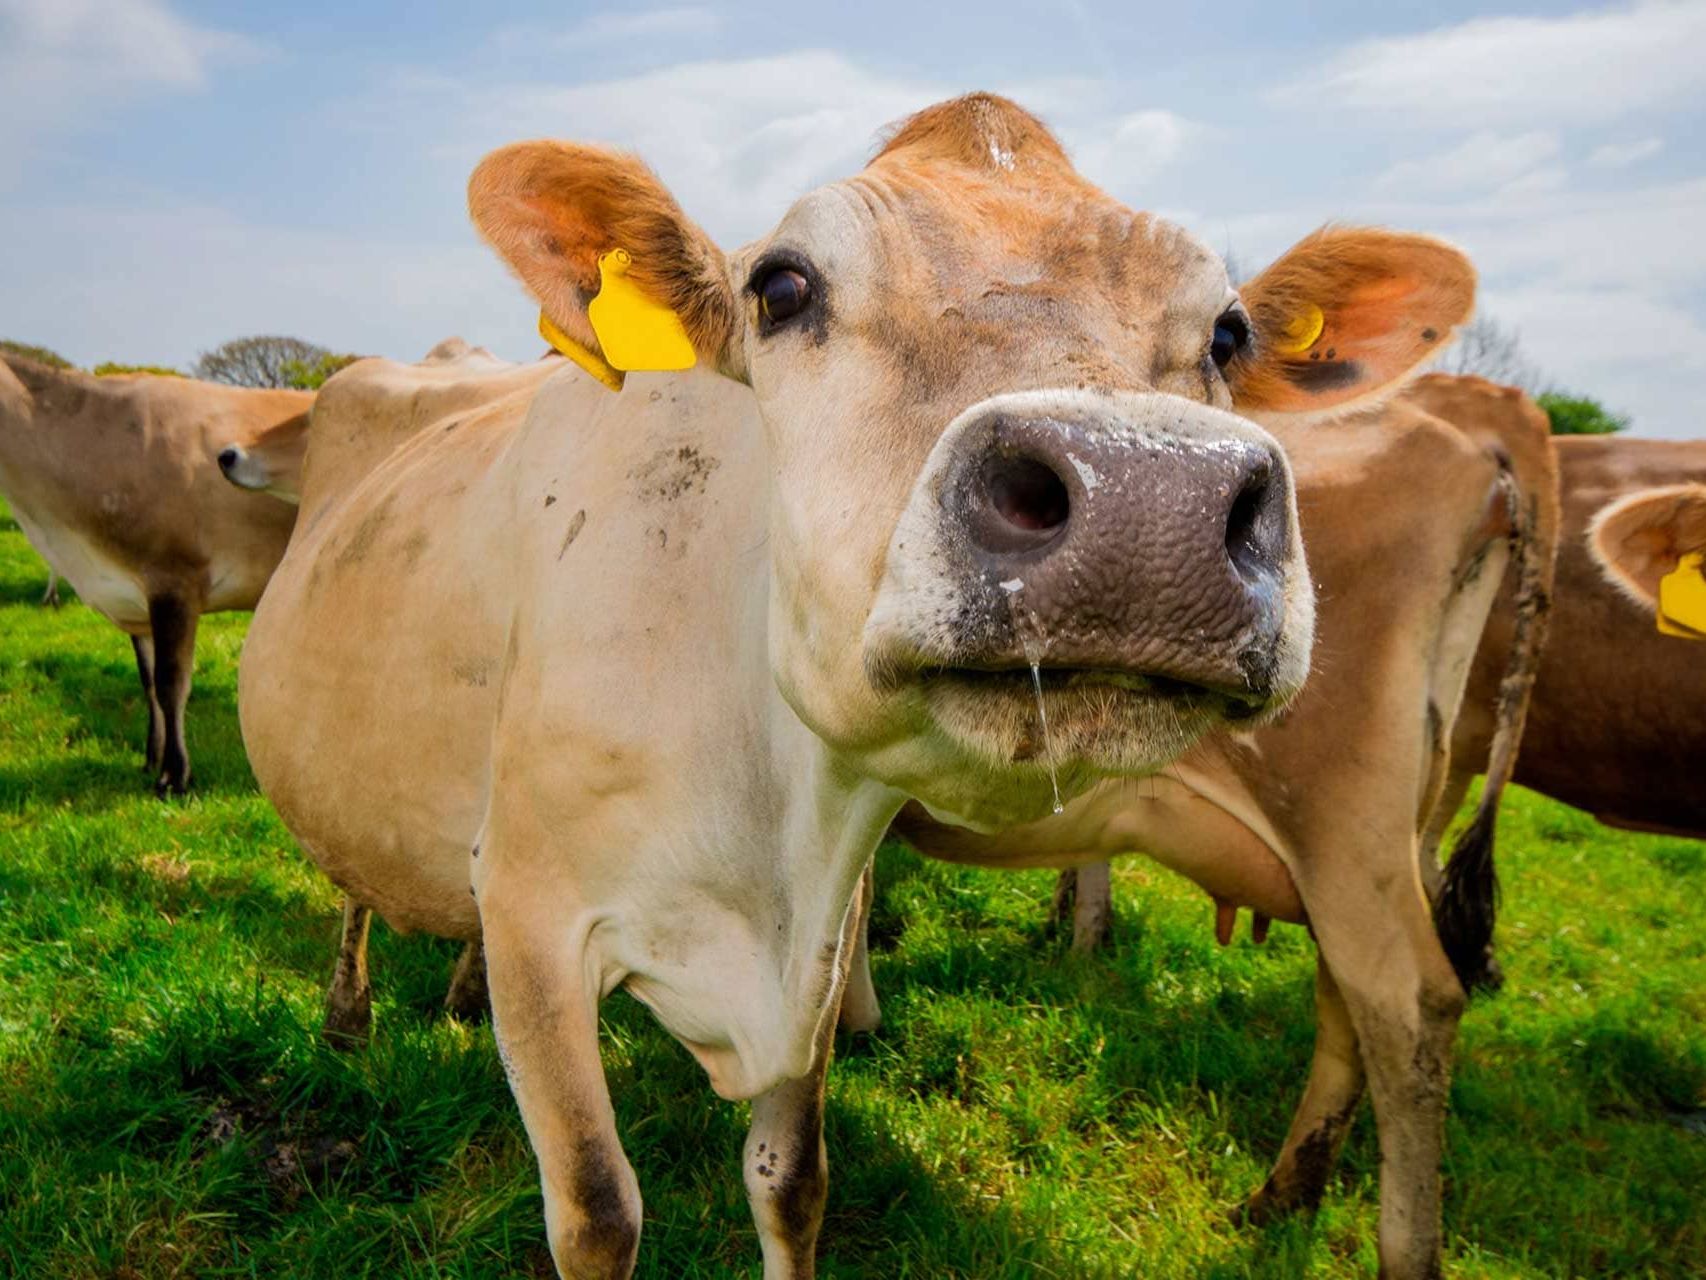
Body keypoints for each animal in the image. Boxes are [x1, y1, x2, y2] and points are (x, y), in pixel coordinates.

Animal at [0, 357, 311, 793]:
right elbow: (147, 683)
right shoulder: (134, 596)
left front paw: (176, 776)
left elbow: (170, 683)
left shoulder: (174, 581)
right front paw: (151, 757)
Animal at [236, 95, 1474, 1278]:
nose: (1144, 498)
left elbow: (792, 1181)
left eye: (1226, 331)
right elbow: (596, 1212)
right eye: (781, 286)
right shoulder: (534, 914)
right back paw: (349, 1012)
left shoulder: (819, 938)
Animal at [879, 373, 1558, 1279]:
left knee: (1411, 1006)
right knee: (1349, 1004)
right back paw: (1283, 1194)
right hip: (1392, 832)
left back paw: (1401, 1248)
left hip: (1346, 828)